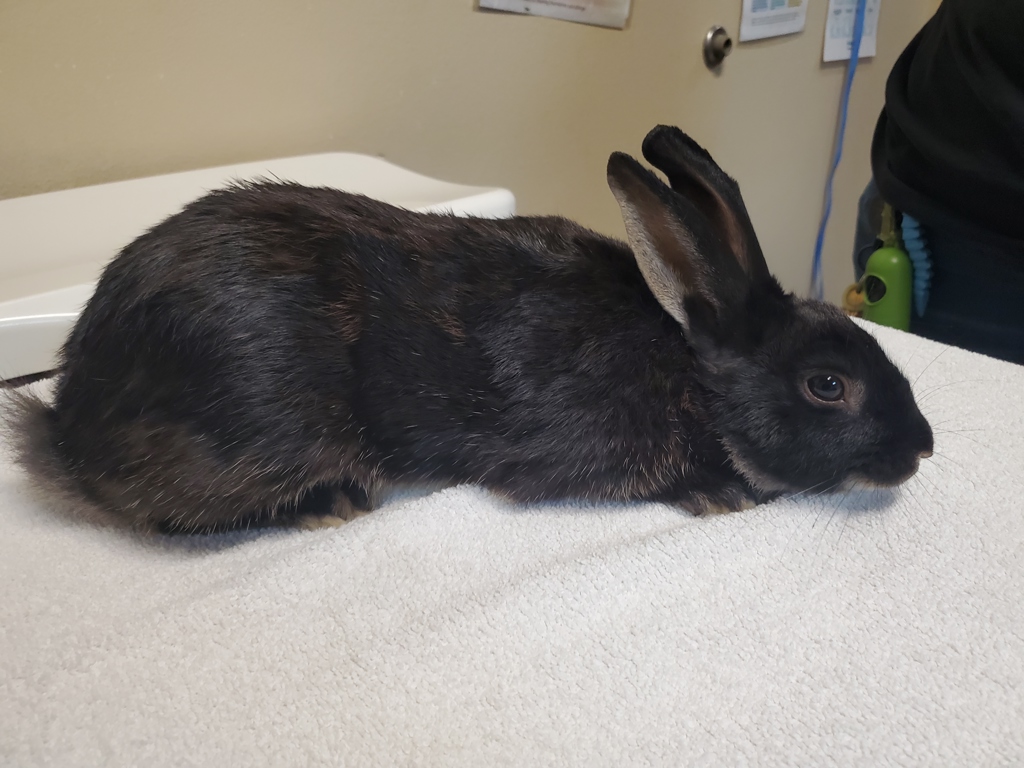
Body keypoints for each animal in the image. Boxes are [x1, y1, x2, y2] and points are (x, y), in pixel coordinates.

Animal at [5, 125, 933, 533]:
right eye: (826, 385)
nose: (922, 447)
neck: (691, 373)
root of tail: (68, 421)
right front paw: (718, 494)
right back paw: (330, 505)